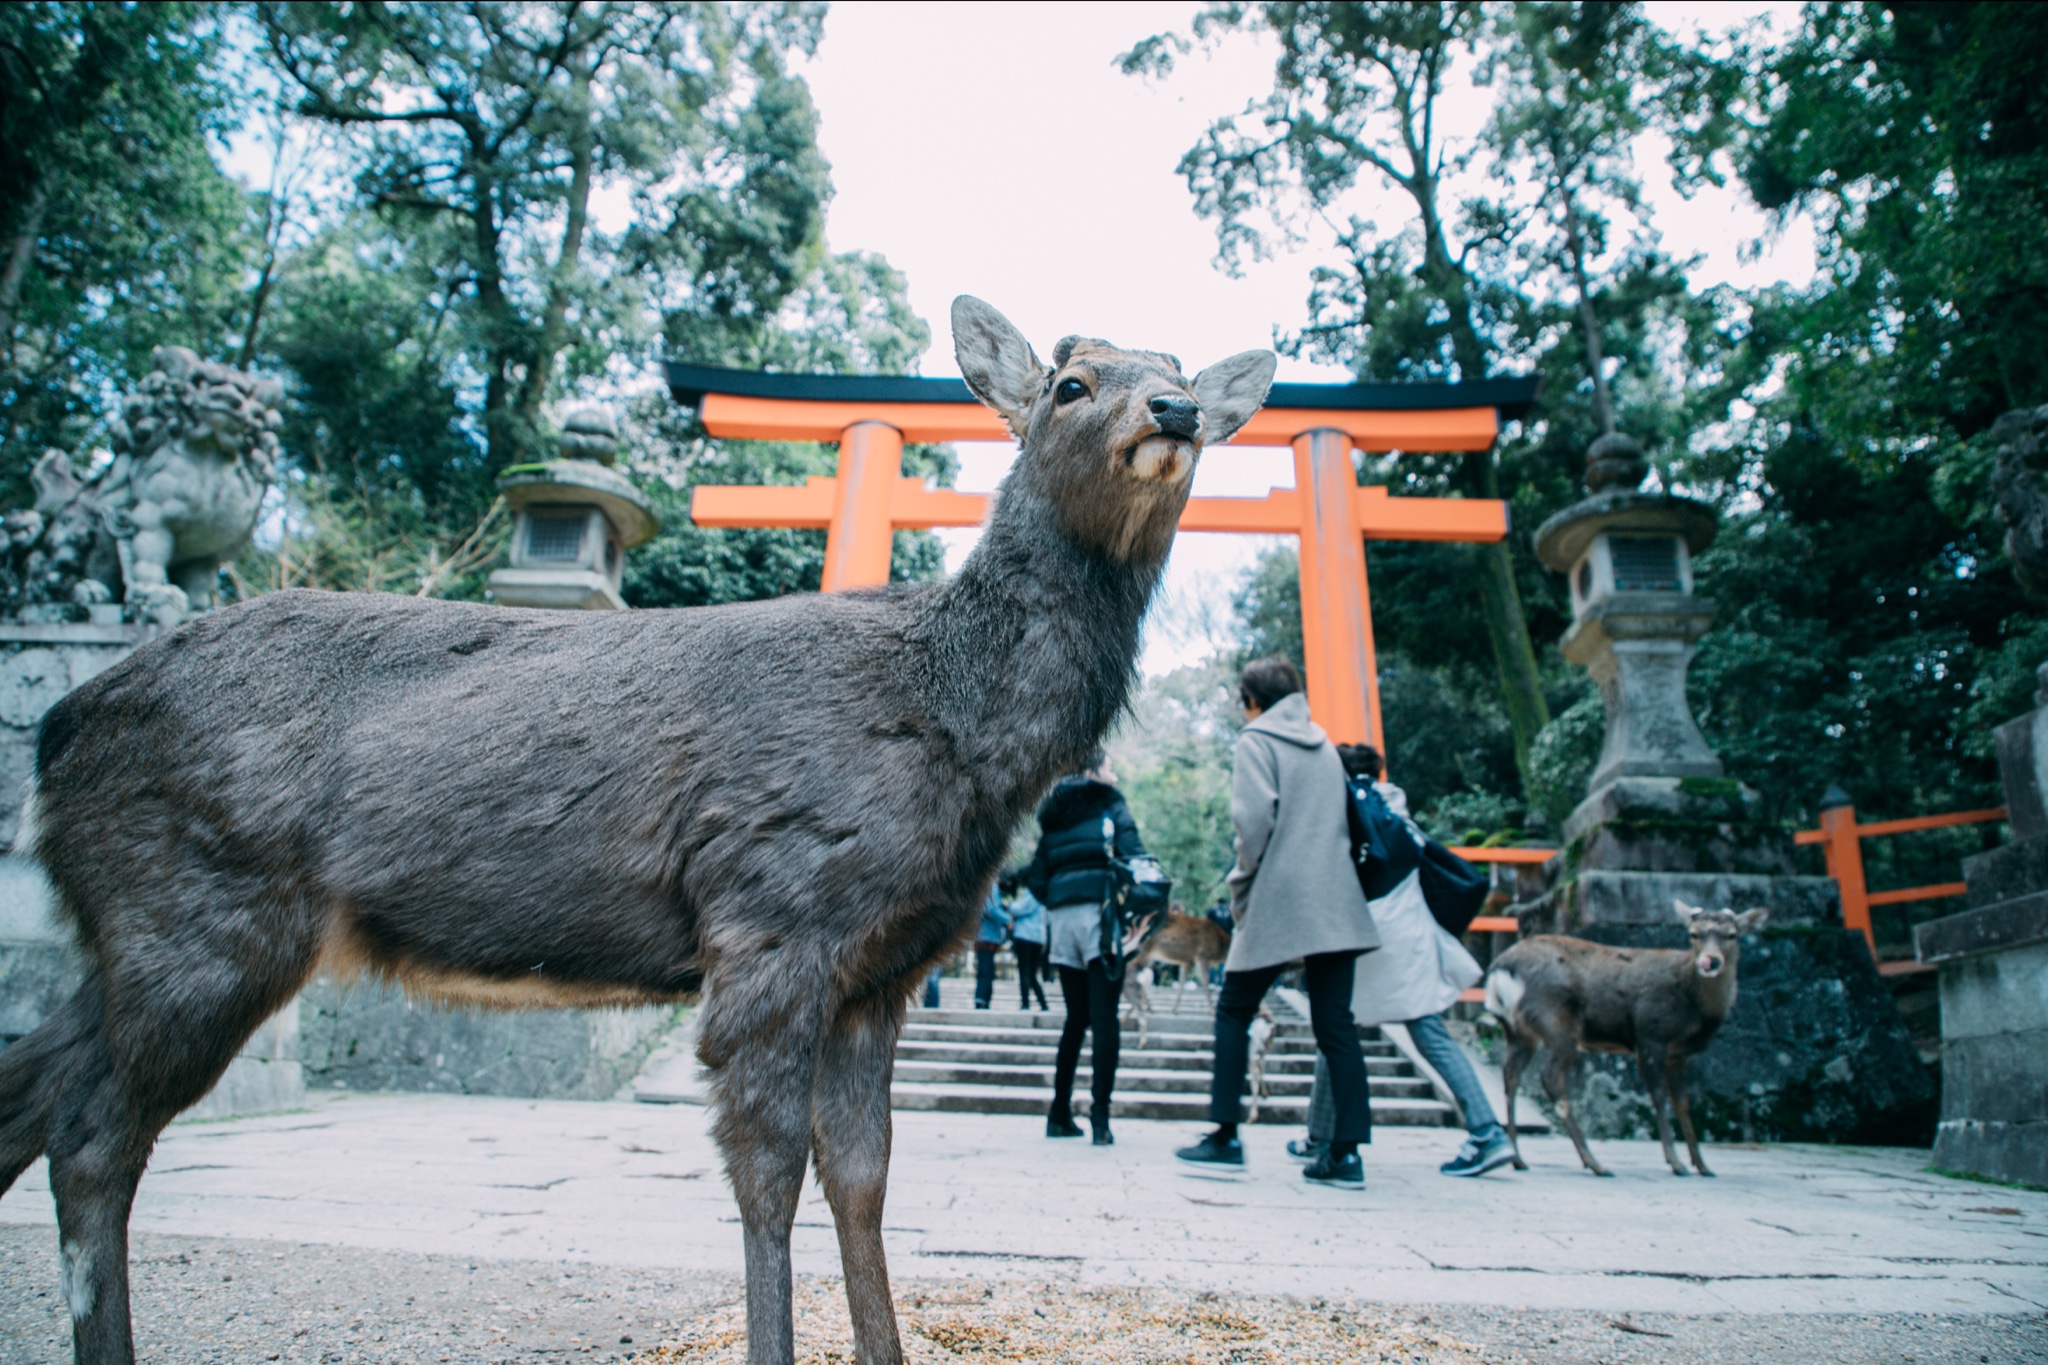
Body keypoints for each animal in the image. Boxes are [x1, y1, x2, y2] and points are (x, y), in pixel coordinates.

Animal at [0, 298, 1277, 1365]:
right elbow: (767, 1177)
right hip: (201, 908)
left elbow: (863, 1178)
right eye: (1070, 381)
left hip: (139, 931)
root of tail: (57, 731)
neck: (957, 727)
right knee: (94, 1136)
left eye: (1180, 374)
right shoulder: (772, 910)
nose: (1172, 411)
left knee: (35, 1084)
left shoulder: (882, 968)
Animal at [1482, 900, 1769, 1178]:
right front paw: (1676, 1163)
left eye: (1732, 935)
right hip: (1556, 1021)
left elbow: (1683, 1102)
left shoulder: (1678, 1054)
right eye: (1694, 934)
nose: (1710, 961)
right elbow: (1659, 1096)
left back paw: (1517, 1158)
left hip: (1519, 1032)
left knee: (1511, 1076)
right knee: (1550, 1078)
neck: (1696, 1011)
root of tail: (1500, 971)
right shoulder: (1651, 1035)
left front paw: (1702, 1165)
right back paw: (1594, 1163)